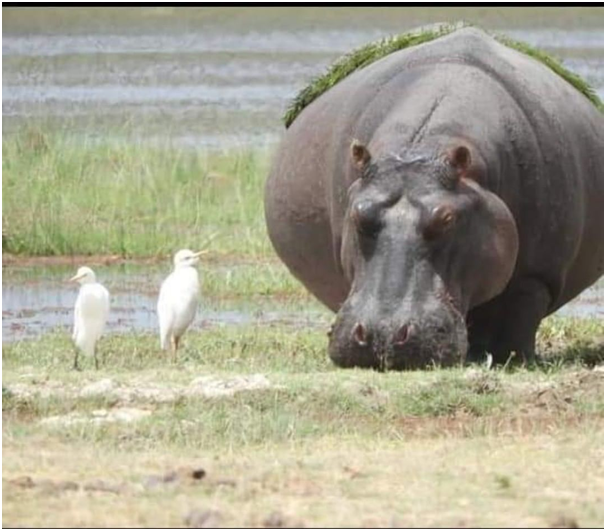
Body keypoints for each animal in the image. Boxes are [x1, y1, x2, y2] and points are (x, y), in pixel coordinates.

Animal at [264, 27, 604, 372]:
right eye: (358, 213)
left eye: (447, 218)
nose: (383, 334)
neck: (420, 151)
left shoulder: (536, 275)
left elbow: (518, 318)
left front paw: (514, 359)